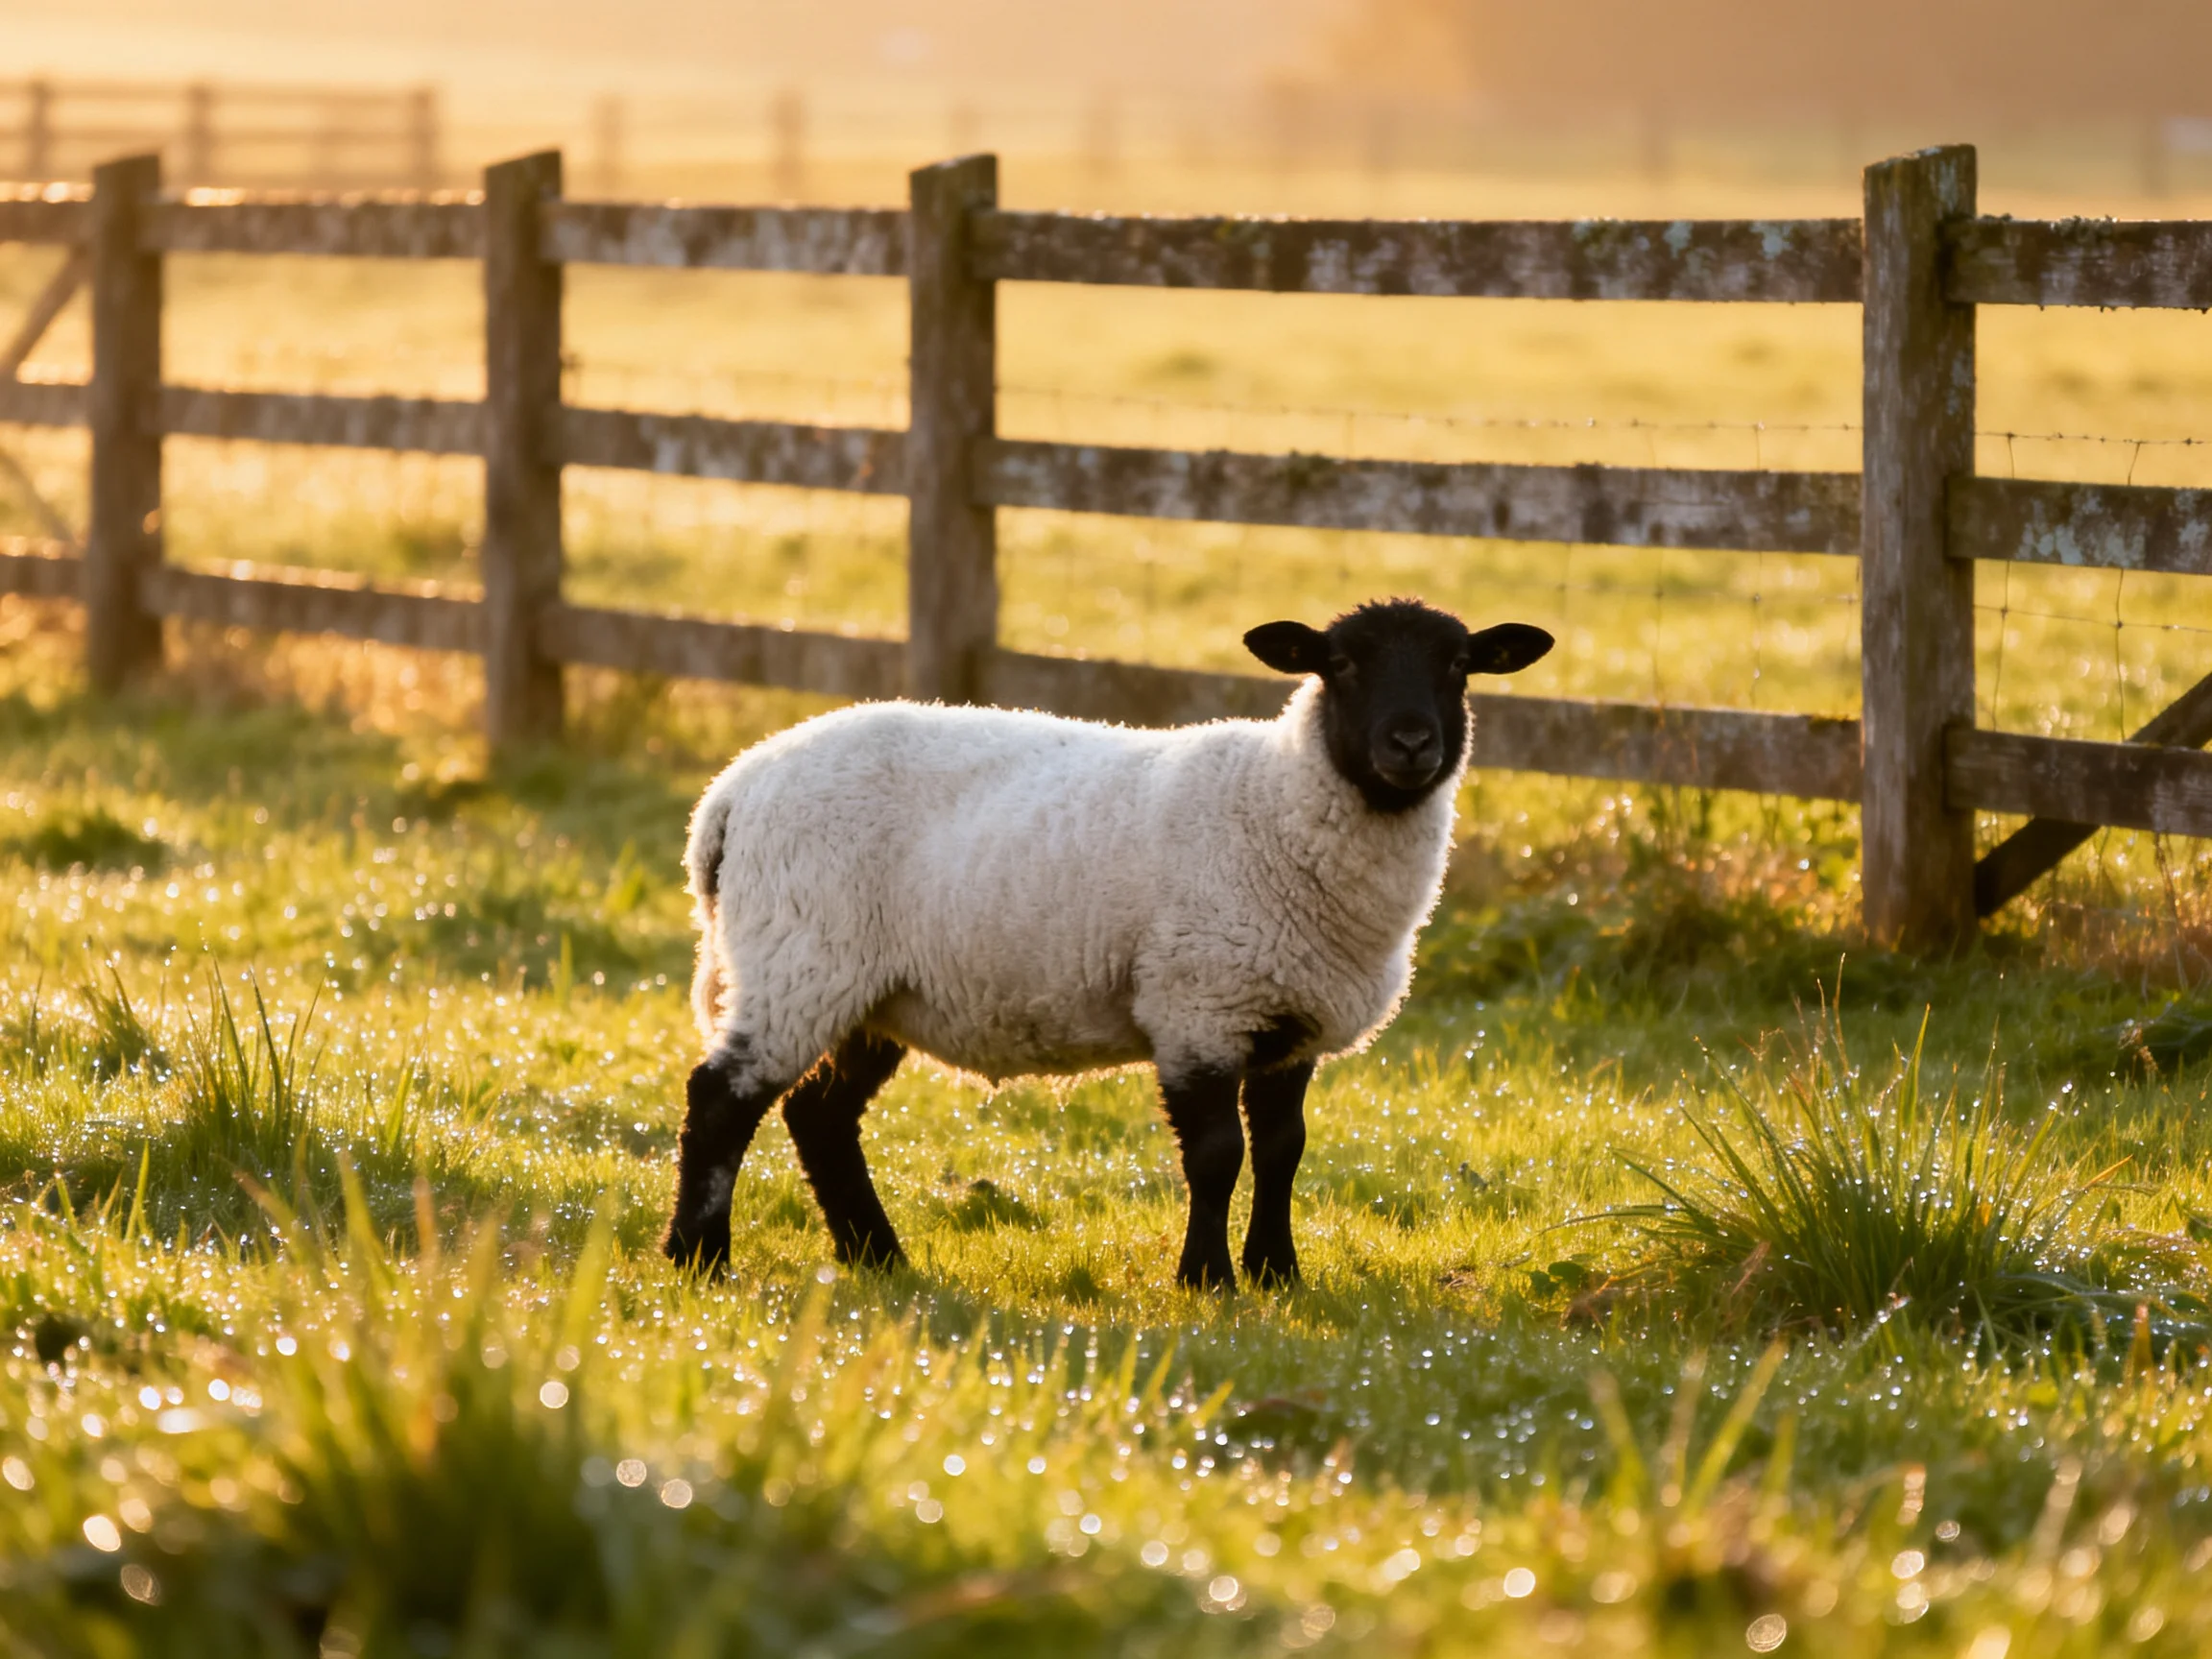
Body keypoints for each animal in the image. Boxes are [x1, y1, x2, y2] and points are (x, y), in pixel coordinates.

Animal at [662, 598, 1554, 1290]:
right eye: (1340, 664)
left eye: (1459, 666)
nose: (1411, 744)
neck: (1279, 802)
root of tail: (732, 791)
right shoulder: (1198, 1006)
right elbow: (1217, 1155)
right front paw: (1208, 1280)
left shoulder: (1288, 1019)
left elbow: (1283, 1152)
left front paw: (1278, 1274)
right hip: (800, 959)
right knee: (721, 1101)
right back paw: (699, 1259)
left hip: (871, 990)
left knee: (818, 1115)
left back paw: (879, 1259)